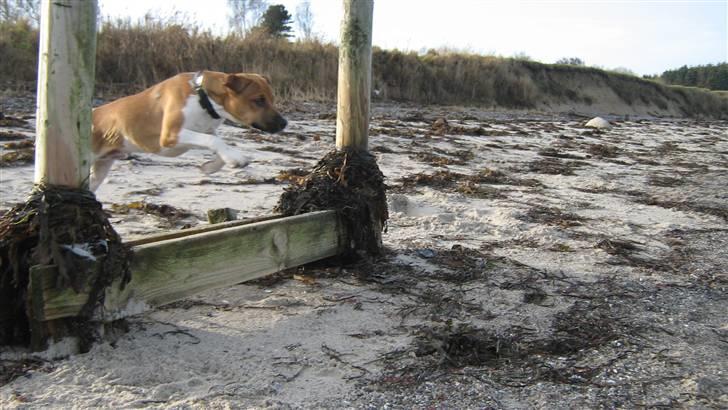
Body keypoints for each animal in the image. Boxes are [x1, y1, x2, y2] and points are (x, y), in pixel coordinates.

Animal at [89, 70, 288, 191]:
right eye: (259, 100)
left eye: (272, 99)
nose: (284, 123)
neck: (204, 99)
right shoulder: (171, 134)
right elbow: (215, 141)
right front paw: (234, 158)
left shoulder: (204, 131)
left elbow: (219, 144)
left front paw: (212, 166)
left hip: (100, 169)